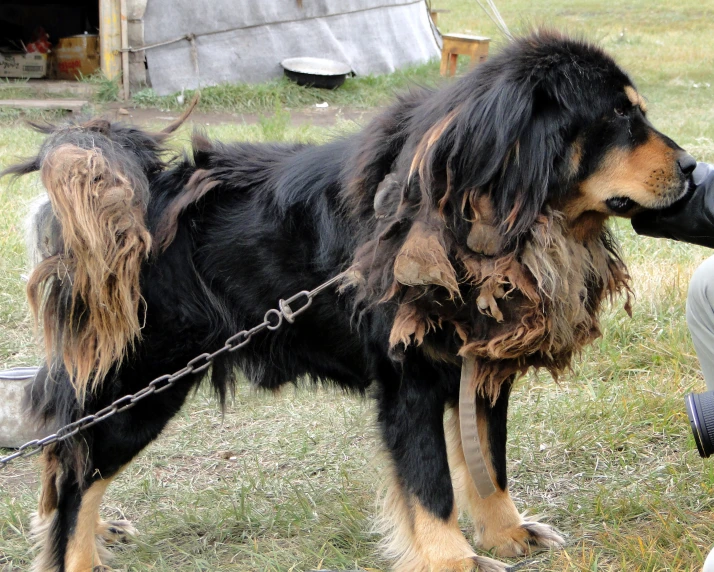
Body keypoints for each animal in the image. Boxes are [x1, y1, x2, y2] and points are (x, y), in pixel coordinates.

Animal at [8, 31, 692, 572]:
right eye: (620, 118)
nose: (691, 167)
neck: (472, 211)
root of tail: (139, 194)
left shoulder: (479, 364)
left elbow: (488, 463)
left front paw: (507, 533)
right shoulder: (410, 379)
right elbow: (431, 486)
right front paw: (453, 560)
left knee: (68, 460)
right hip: (143, 384)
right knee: (74, 470)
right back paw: (72, 553)